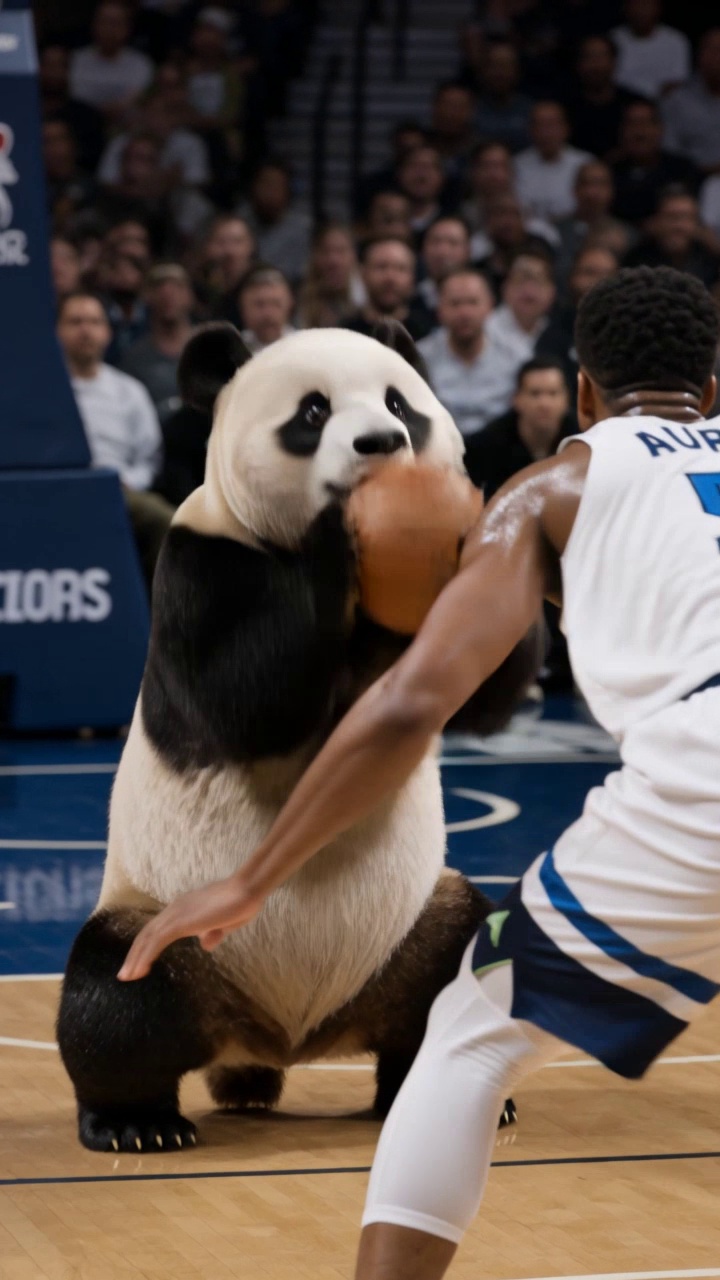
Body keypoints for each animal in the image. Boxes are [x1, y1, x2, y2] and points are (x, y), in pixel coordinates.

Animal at [57, 321, 540, 1153]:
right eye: (313, 412)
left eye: (399, 404)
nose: (381, 443)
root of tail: (283, 1036)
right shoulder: (200, 562)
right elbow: (248, 699)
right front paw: (334, 525)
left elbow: (479, 695)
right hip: (168, 925)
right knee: (114, 1002)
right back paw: (135, 1121)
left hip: (413, 926)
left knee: (467, 966)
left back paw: (449, 1092)